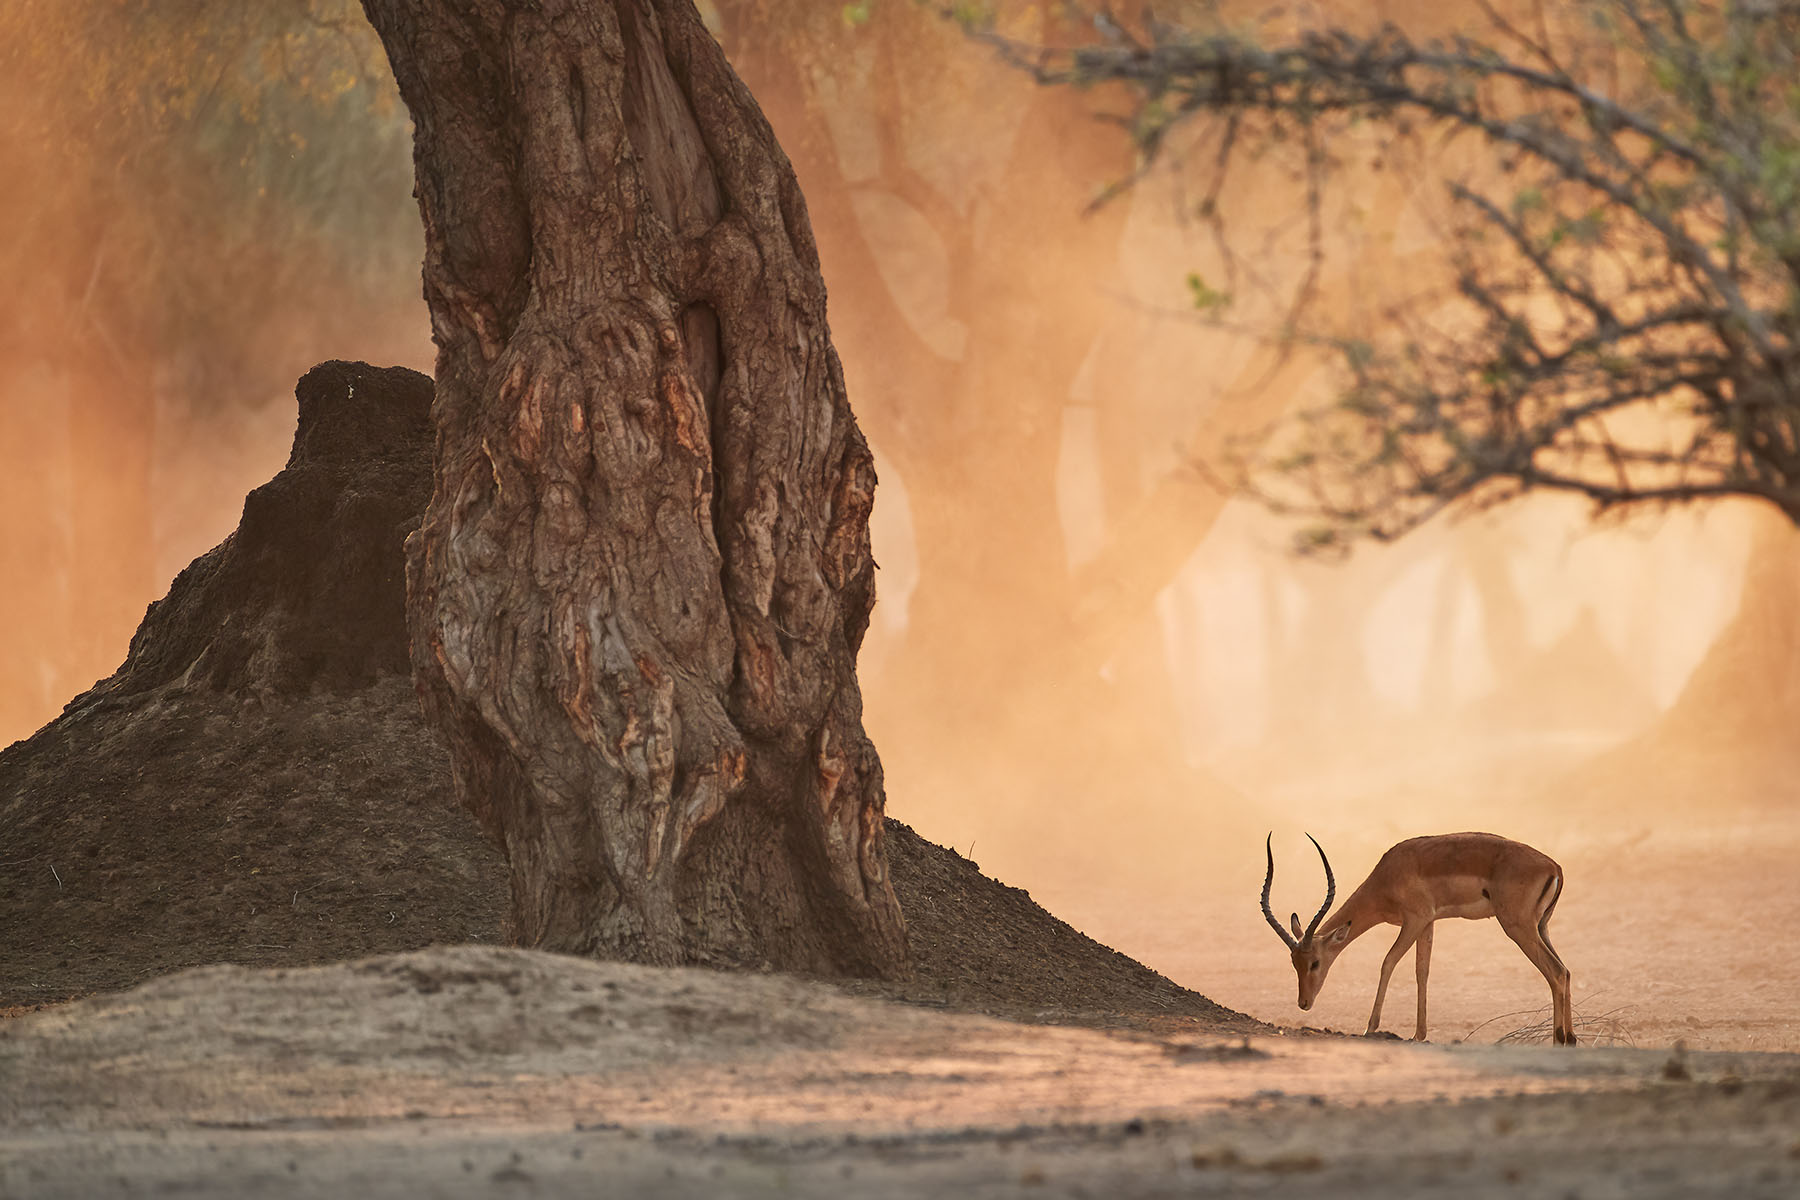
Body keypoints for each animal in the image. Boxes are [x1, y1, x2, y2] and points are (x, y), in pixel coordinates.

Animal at [1261, 832, 1575, 1045]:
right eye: (1294, 964)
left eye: (1314, 962)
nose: (1304, 1003)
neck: (1388, 874)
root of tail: (1554, 867)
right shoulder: (1428, 924)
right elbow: (1421, 970)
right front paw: (1419, 1034)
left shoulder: (1415, 919)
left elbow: (1388, 962)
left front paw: (1370, 1027)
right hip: (1541, 928)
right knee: (1566, 971)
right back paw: (1570, 1038)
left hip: (1517, 927)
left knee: (1556, 972)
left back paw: (1560, 1040)